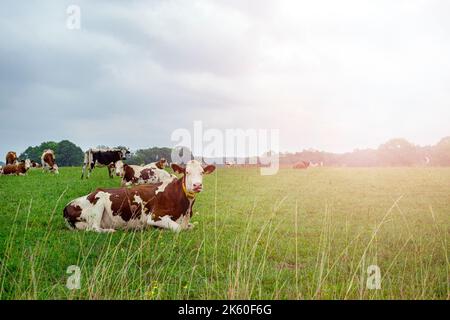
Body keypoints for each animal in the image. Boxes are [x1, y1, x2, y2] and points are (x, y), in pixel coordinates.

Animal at [63, 160, 216, 232]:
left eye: (202, 172)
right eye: (187, 172)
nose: (197, 185)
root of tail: (67, 206)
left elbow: (191, 226)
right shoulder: (154, 217)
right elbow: (178, 229)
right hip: (98, 200)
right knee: (94, 228)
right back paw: (112, 231)